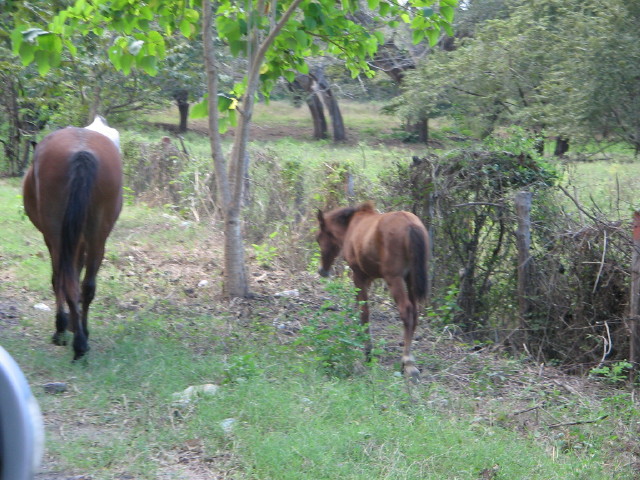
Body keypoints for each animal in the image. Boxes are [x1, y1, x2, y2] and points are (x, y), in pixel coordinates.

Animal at [22, 119, 123, 360]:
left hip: (57, 236)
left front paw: (63, 325)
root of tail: (82, 152)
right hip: (97, 236)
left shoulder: (53, 239)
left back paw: (69, 335)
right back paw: (82, 337)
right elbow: (77, 275)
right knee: (86, 286)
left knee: (63, 279)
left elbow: (58, 278)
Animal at [316, 202, 431, 380]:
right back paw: (407, 361)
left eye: (318, 238)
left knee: (406, 311)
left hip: (394, 278)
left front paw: (367, 351)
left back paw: (408, 362)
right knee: (415, 312)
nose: (322, 270)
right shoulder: (369, 277)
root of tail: (411, 226)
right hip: (410, 278)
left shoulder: (358, 275)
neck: (351, 226)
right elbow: (359, 307)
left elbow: (364, 311)